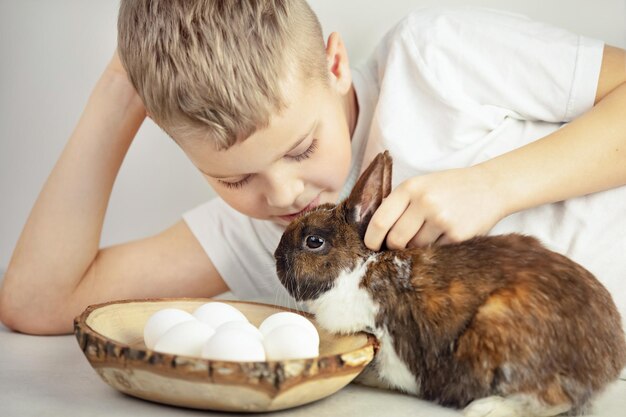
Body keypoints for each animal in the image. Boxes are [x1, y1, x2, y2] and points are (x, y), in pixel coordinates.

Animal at [272, 150, 624, 416]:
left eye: (314, 241)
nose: (276, 257)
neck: (361, 269)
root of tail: (608, 360)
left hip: (500, 328)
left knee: (554, 399)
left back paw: (487, 408)